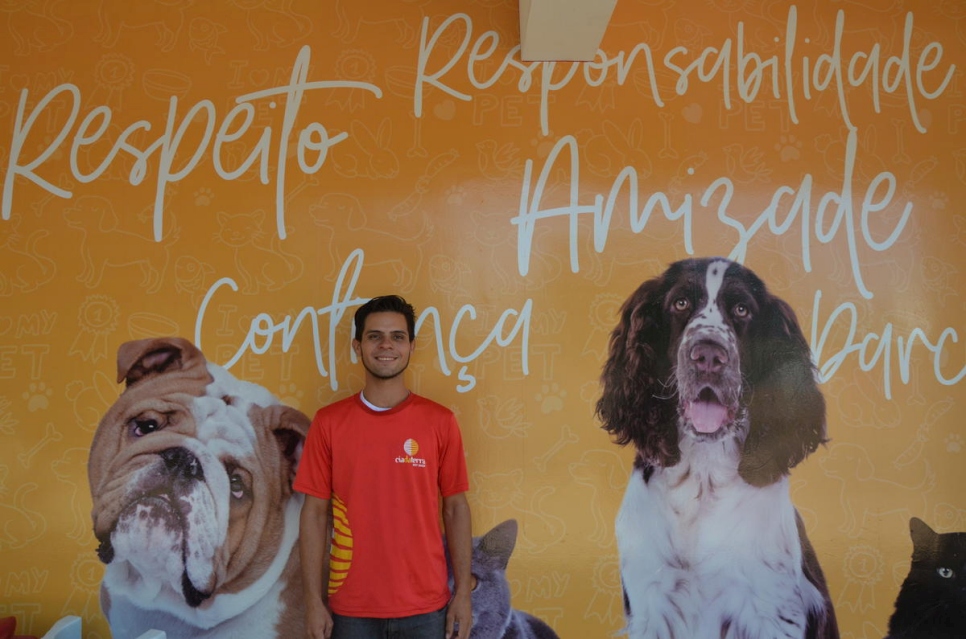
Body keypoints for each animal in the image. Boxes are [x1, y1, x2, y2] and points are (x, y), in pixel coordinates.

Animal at [596, 258, 840, 639]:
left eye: (742, 309)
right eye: (680, 303)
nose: (708, 355)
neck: (703, 475)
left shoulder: (770, 610)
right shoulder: (652, 606)